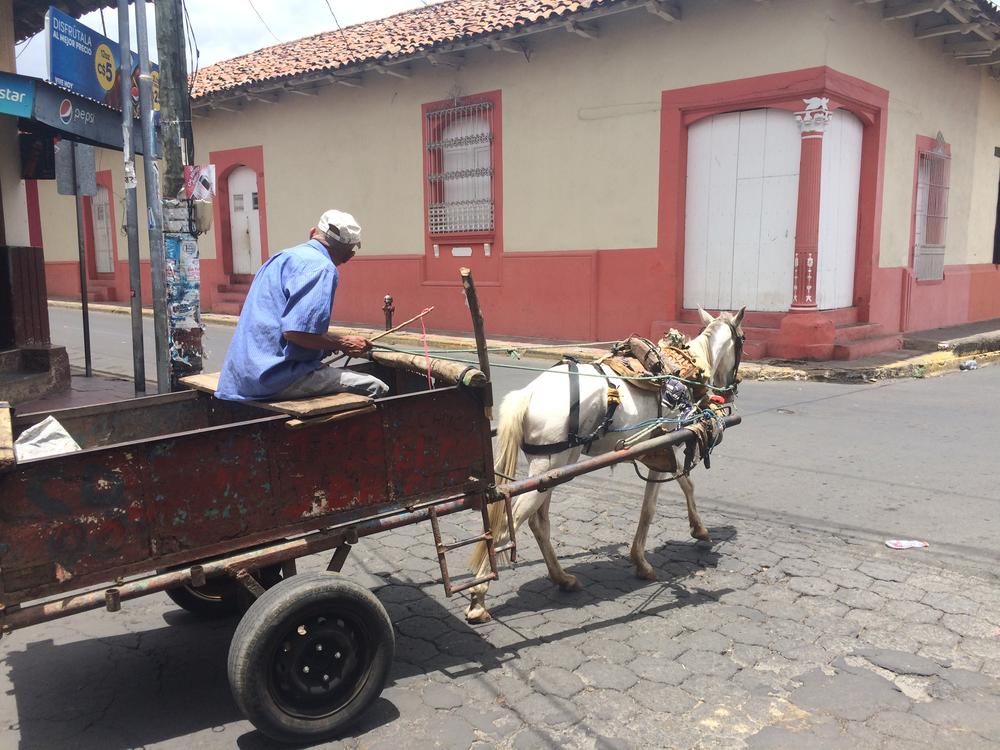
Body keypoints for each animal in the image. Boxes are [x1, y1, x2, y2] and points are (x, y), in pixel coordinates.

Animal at [466, 308, 744, 624]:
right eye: (742, 339)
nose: (731, 389)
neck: (686, 367)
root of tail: (528, 394)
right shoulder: (668, 445)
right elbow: (661, 501)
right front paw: (653, 556)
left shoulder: (660, 450)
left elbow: (678, 488)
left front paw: (689, 533)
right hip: (550, 467)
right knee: (505, 527)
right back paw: (478, 598)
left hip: (550, 470)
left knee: (539, 523)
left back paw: (562, 578)